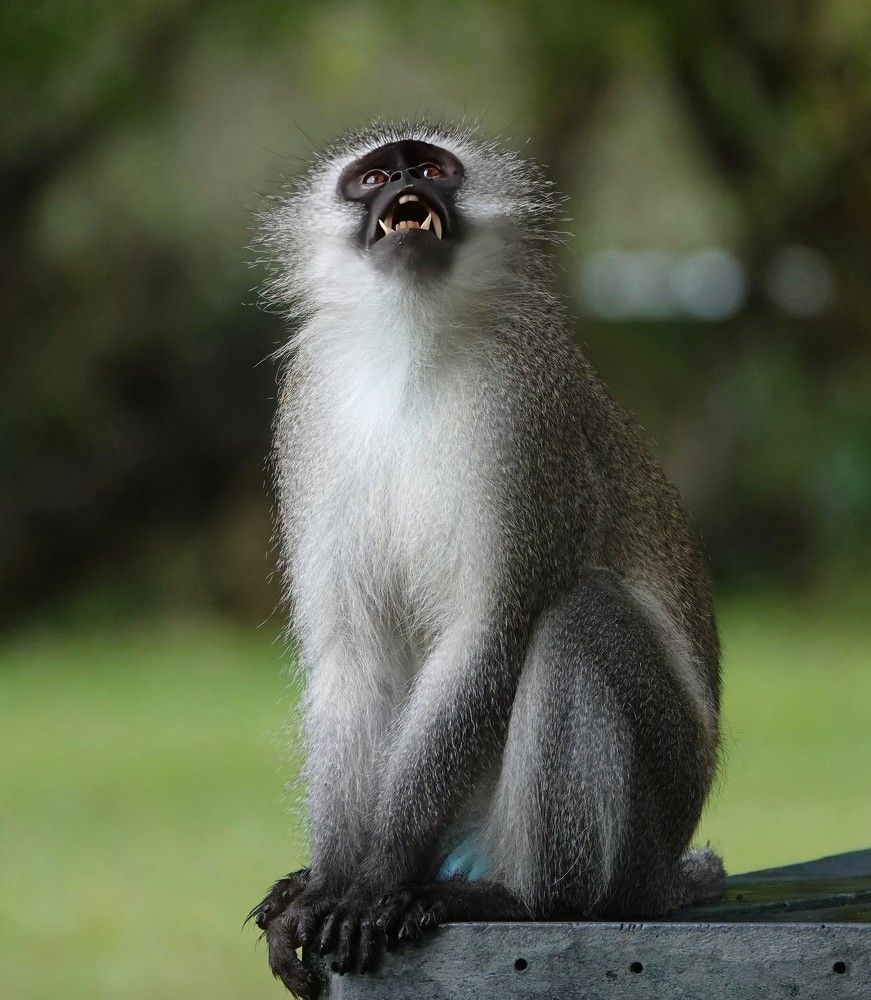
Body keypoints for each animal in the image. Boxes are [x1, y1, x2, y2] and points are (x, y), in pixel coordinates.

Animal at [248, 121, 724, 999]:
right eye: (374, 178)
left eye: (431, 168)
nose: (407, 182)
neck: (407, 345)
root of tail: (663, 875)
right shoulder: (308, 407)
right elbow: (352, 657)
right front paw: (327, 883)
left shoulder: (526, 415)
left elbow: (490, 633)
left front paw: (374, 880)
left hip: (658, 802)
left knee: (578, 617)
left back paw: (529, 902)